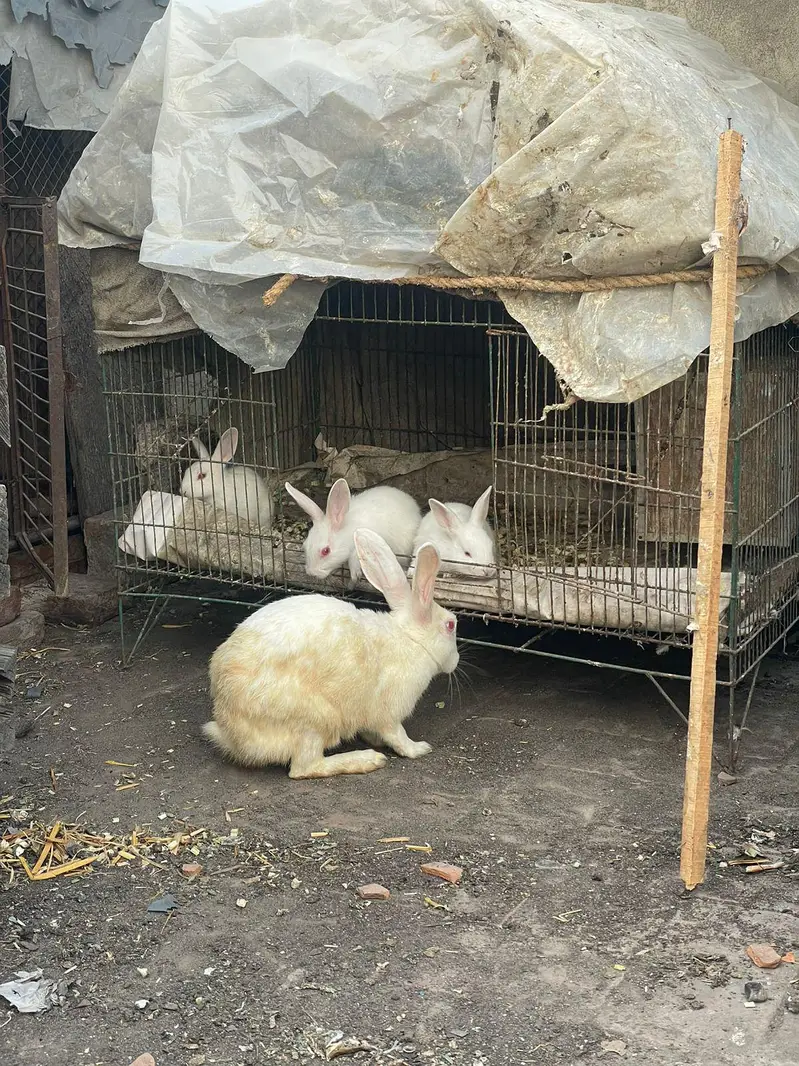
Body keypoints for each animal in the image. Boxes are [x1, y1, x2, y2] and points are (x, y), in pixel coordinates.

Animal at [204, 529, 458, 778]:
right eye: (451, 625)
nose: (455, 661)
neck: (410, 639)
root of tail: (231, 732)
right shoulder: (389, 713)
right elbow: (398, 735)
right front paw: (419, 749)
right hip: (315, 721)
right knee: (304, 768)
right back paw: (367, 760)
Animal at [284, 477, 420, 582]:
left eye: (326, 551)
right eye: (305, 545)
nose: (311, 573)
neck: (348, 532)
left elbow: (355, 556)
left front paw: (355, 575)